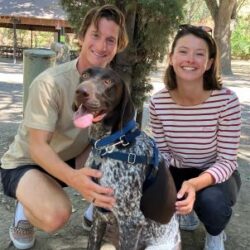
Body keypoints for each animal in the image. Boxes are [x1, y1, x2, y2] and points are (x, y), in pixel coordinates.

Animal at [72, 67, 180, 249]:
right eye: (85, 75)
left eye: (108, 82)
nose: (81, 91)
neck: (108, 144)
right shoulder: (99, 212)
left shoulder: (131, 222)